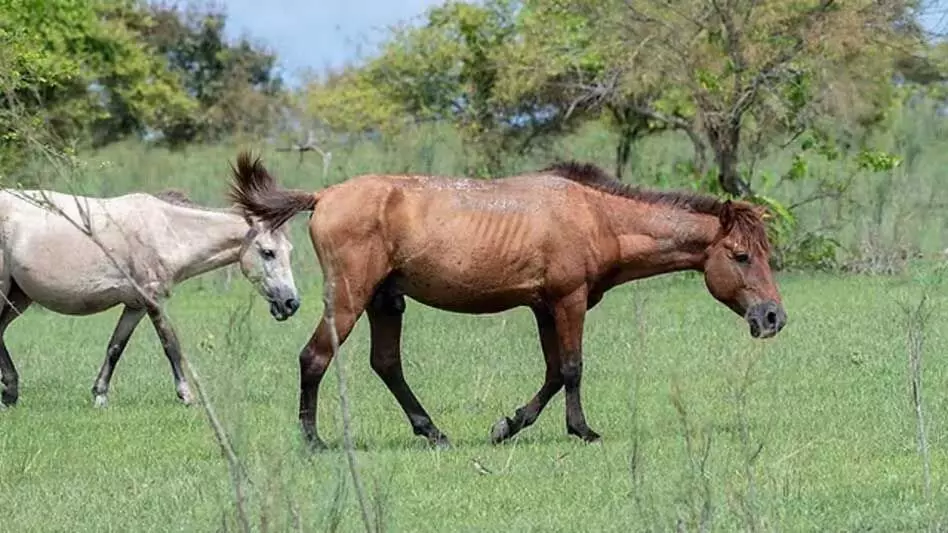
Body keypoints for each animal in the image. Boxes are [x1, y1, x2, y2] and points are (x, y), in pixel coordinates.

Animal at [0, 157, 300, 408]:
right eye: (268, 252)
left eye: (290, 250)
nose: (291, 303)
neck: (167, 231)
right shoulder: (152, 298)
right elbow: (171, 344)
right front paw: (187, 395)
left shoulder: (136, 305)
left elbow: (115, 347)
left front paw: (100, 396)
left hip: (19, 297)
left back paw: (10, 391)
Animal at [228, 151, 784, 448]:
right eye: (740, 256)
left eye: (765, 253)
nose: (773, 317)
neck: (597, 216)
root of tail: (323, 196)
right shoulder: (568, 301)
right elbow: (573, 368)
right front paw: (581, 430)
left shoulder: (544, 307)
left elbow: (554, 372)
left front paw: (507, 426)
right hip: (348, 299)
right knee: (315, 357)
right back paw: (314, 441)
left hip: (386, 302)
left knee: (386, 364)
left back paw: (433, 432)